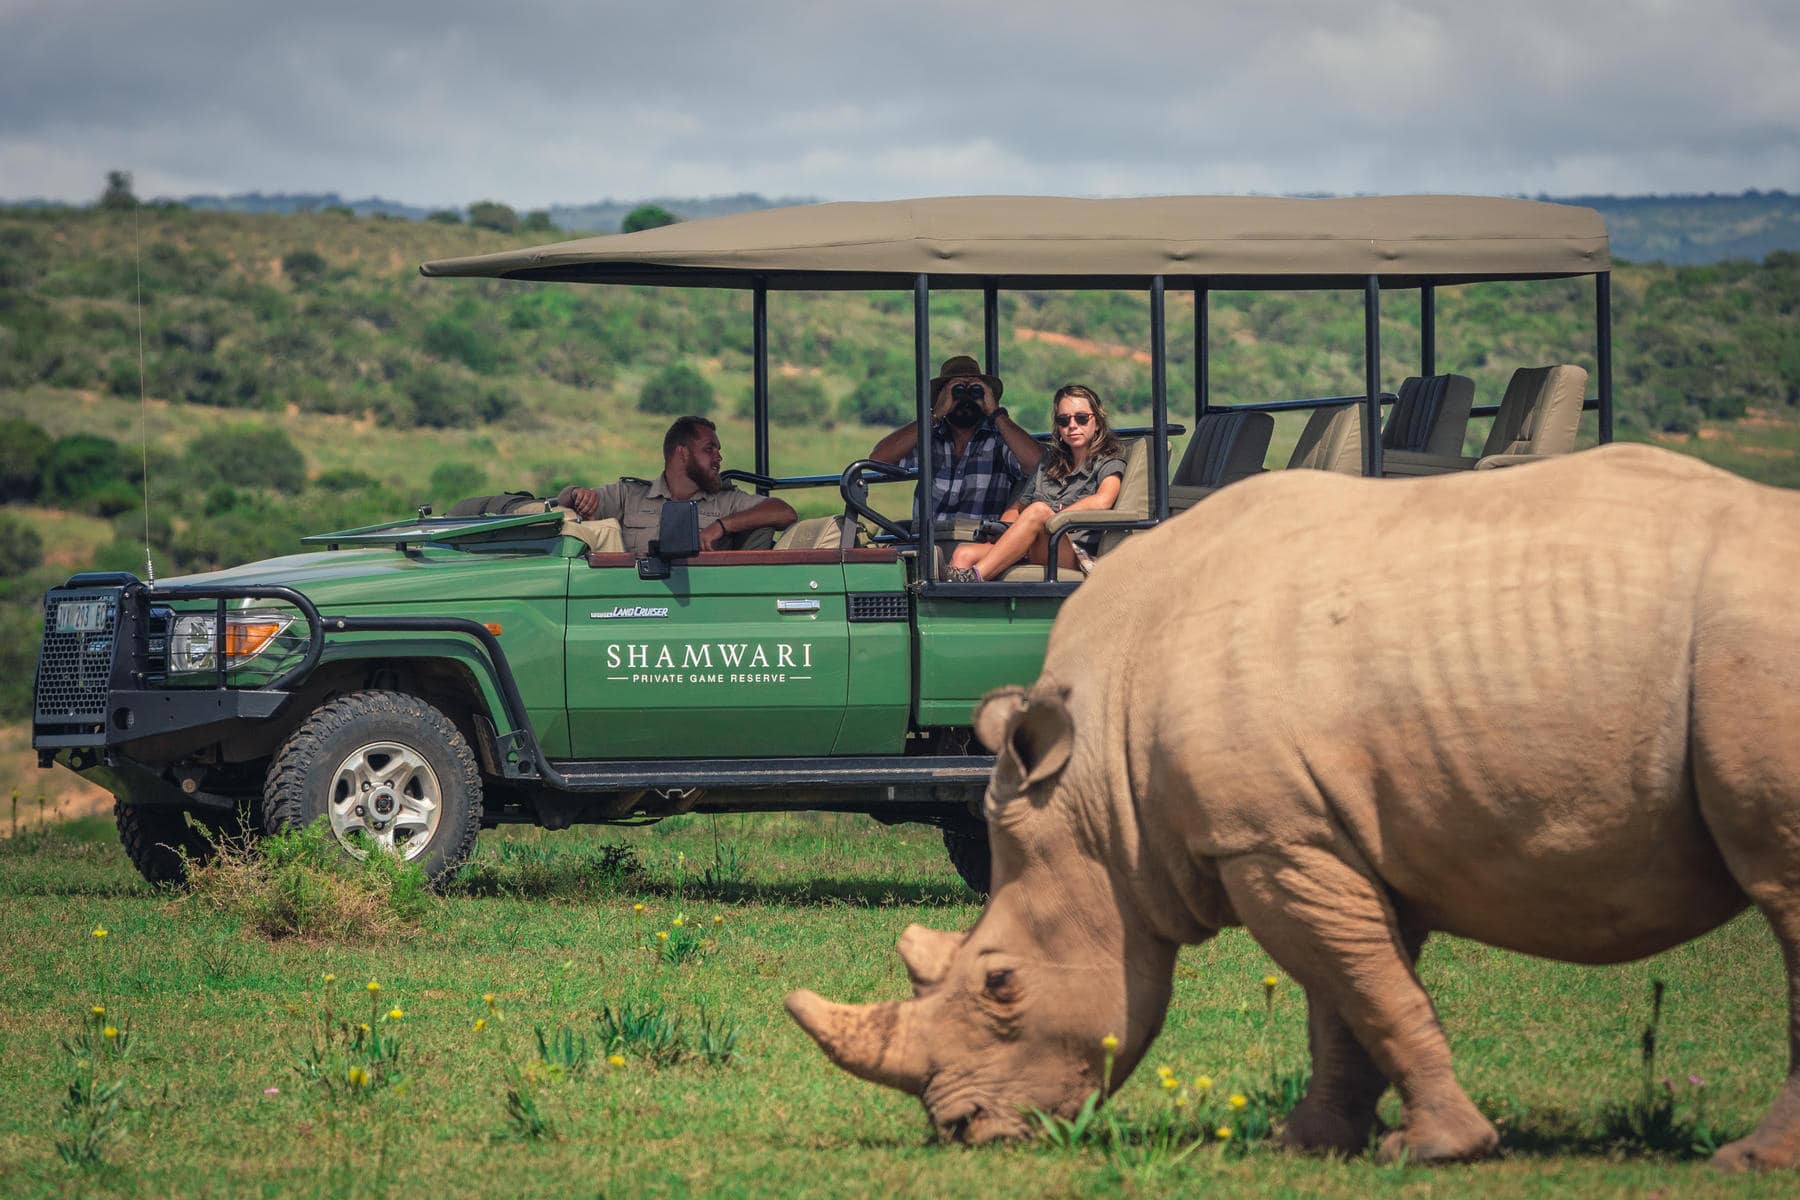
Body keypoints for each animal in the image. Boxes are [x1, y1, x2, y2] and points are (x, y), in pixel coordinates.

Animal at [787, 443, 1800, 1170]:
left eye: (1000, 983)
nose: (961, 1130)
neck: (1101, 793)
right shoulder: (1324, 834)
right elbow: (1351, 995)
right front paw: (1314, 1144)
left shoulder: (1274, 840)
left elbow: (1367, 991)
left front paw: (1435, 1149)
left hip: (1751, 644)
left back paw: (1745, 1161)